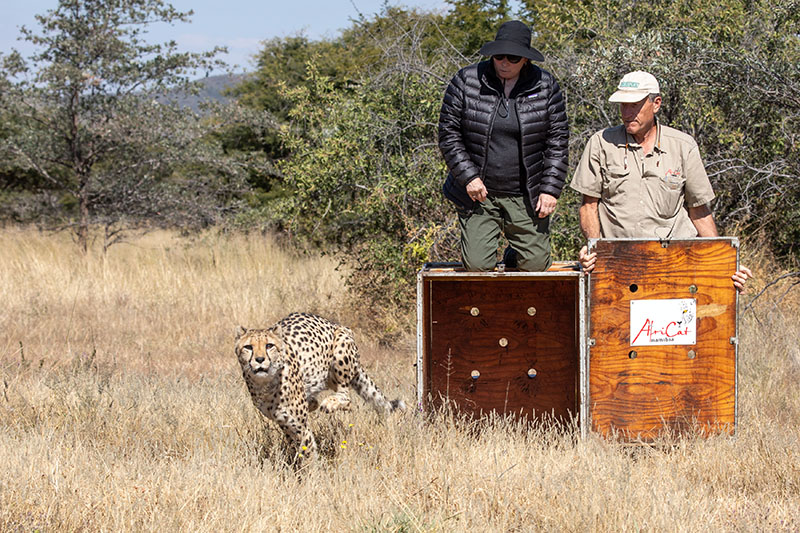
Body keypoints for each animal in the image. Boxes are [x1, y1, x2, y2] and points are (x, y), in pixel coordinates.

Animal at [234, 312, 404, 462]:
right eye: (248, 347)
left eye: (269, 345)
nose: (260, 359)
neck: (265, 384)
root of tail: (334, 324)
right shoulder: (285, 422)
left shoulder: (299, 426)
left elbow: (307, 452)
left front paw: (310, 475)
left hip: (341, 346)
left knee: (347, 398)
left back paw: (330, 403)